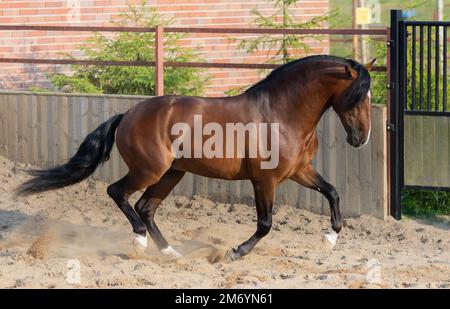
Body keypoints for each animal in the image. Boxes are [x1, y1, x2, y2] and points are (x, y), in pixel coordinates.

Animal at [15, 55, 374, 260]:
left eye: (369, 97)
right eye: (356, 96)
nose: (361, 138)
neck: (281, 113)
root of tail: (127, 114)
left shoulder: (300, 170)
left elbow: (332, 192)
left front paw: (329, 240)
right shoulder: (265, 179)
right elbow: (265, 224)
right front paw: (235, 252)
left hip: (172, 173)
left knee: (145, 207)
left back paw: (171, 252)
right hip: (150, 170)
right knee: (117, 193)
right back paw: (140, 244)